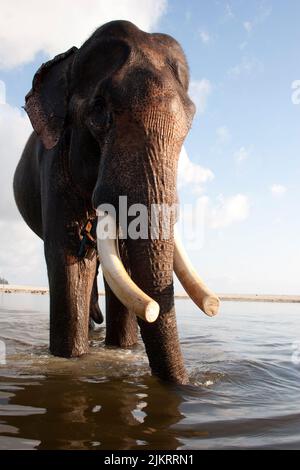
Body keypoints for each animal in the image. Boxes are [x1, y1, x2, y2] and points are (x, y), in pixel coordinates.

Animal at [13, 20, 218, 384]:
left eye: (191, 122)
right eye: (98, 111)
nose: (191, 385)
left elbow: (122, 257)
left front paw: (122, 351)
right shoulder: (55, 162)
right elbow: (68, 257)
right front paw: (72, 360)